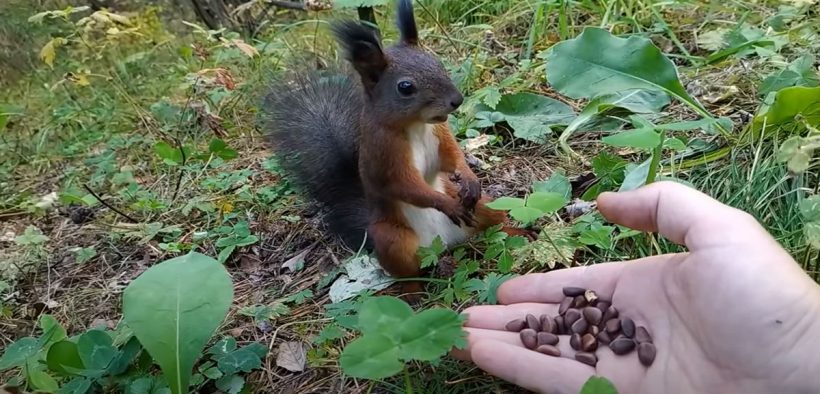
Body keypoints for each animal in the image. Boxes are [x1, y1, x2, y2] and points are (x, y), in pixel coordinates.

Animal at [262, 0, 532, 296]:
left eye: (437, 62)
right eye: (405, 87)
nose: (457, 100)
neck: (416, 126)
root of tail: (444, 244)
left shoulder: (440, 135)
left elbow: (451, 158)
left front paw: (469, 178)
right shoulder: (384, 153)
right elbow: (405, 185)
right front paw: (447, 204)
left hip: (484, 207)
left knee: (494, 223)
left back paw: (521, 233)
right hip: (392, 239)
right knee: (407, 273)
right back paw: (413, 294)